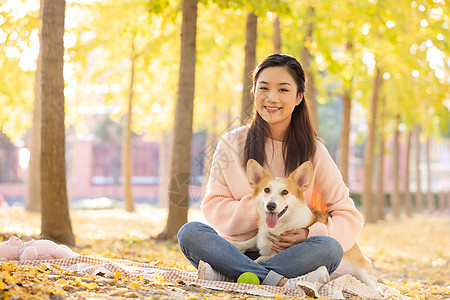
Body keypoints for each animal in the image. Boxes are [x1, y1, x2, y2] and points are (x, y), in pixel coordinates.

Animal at [232, 159, 380, 292]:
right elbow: (251, 241)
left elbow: (262, 259)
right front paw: (236, 244)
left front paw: (255, 261)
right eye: (266, 190)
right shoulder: (260, 237)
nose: (271, 205)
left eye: (284, 192)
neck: (282, 224)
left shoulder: (279, 250)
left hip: (364, 274)